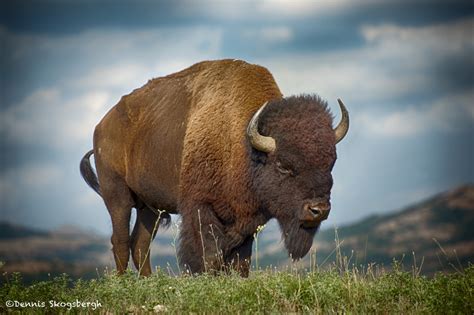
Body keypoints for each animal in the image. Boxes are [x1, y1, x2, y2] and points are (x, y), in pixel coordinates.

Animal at [80, 59, 348, 276]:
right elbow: (208, 257)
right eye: (283, 165)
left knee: (140, 244)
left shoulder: (245, 222)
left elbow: (240, 262)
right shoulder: (200, 208)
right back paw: (123, 282)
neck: (244, 144)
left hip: (150, 207)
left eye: (331, 162)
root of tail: (101, 125)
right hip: (118, 196)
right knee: (121, 241)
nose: (318, 210)